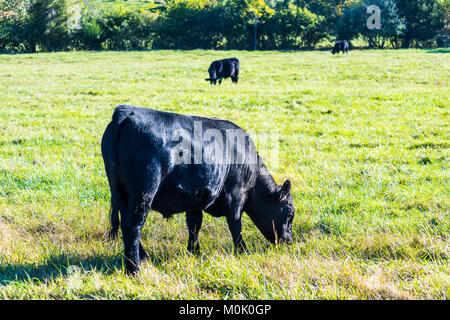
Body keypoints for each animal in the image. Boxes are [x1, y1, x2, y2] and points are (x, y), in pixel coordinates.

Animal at [102, 105, 296, 276]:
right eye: (290, 213)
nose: (289, 241)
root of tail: (128, 111)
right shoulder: (236, 195)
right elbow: (235, 225)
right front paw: (242, 250)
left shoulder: (194, 199)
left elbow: (194, 225)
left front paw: (194, 252)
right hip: (144, 191)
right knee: (133, 226)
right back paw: (134, 270)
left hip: (121, 194)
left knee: (125, 223)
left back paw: (144, 258)